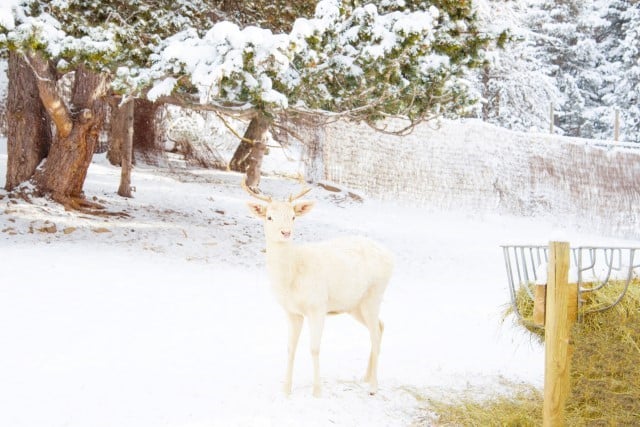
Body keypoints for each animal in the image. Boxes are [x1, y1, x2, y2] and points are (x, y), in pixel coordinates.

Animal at [245, 180, 396, 398]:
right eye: (269, 216)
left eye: (293, 216)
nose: (285, 232)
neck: (291, 279)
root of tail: (391, 257)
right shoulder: (291, 312)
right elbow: (290, 348)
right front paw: (285, 389)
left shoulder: (317, 307)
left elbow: (314, 348)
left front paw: (317, 391)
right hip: (354, 305)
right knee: (381, 325)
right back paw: (366, 377)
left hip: (374, 294)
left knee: (375, 333)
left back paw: (373, 387)